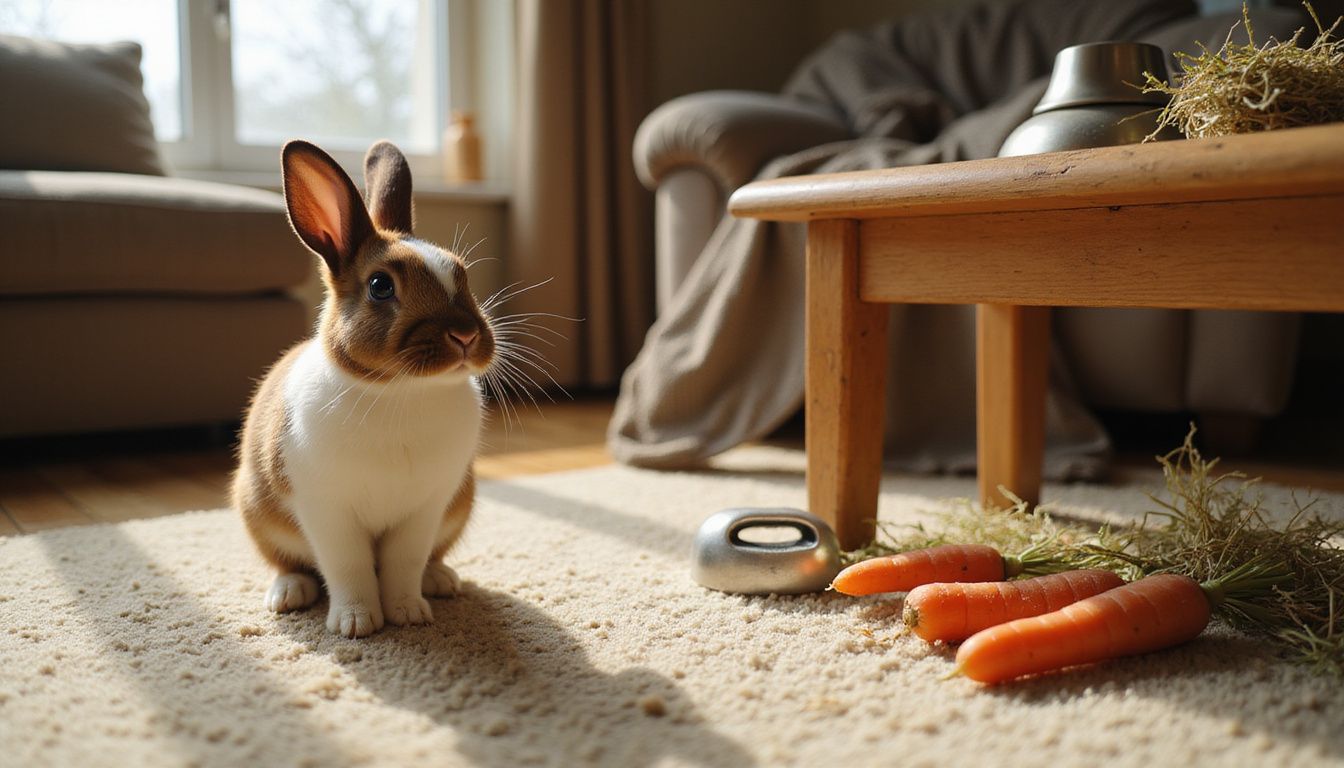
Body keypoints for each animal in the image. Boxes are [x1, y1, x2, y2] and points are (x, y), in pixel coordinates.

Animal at [231, 139, 495, 638]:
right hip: (255, 508)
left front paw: (409, 613)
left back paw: (440, 581)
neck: (402, 392)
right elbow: (348, 568)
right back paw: (288, 594)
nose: (466, 335)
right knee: (288, 562)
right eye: (380, 286)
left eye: (462, 273)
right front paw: (356, 624)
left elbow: (403, 564)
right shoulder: (327, 512)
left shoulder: (425, 510)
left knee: (429, 559)